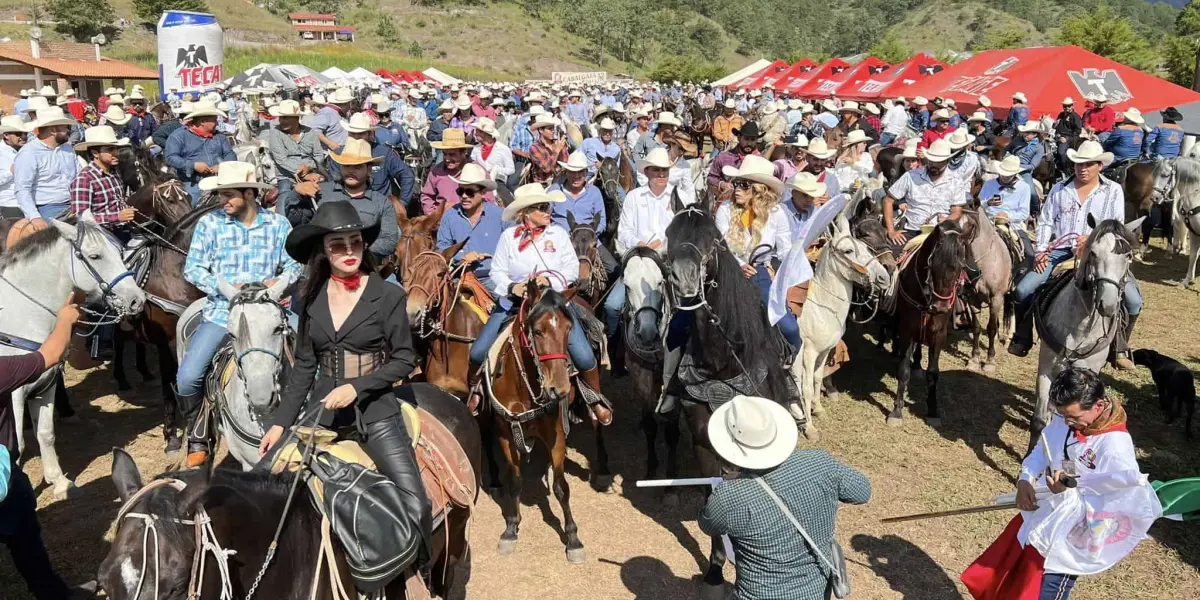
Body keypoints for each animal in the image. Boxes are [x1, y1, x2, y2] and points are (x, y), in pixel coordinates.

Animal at [0, 216, 145, 496]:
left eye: (120, 251)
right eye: (95, 255)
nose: (137, 299)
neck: (20, 316)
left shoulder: (45, 385)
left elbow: (45, 433)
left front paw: (58, 481)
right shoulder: (13, 396)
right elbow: (18, 447)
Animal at [888, 220, 969, 427]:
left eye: (960, 267)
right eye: (932, 265)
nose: (941, 306)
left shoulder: (939, 334)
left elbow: (933, 373)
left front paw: (933, 410)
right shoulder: (907, 329)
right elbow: (904, 369)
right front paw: (896, 411)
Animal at [955, 208, 1012, 372]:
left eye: (970, 225)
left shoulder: (997, 298)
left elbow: (991, 328)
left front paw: (989, 361)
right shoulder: (973, 298)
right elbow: (976, 328)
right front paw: (974, 359)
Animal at [1032, 219, 1132, 451]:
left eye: (1128, 256)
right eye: (1094, 252)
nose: (1108, 305)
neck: (1081, 327)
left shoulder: (1088, 371)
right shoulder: (1046, 367)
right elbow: (1040, 420)